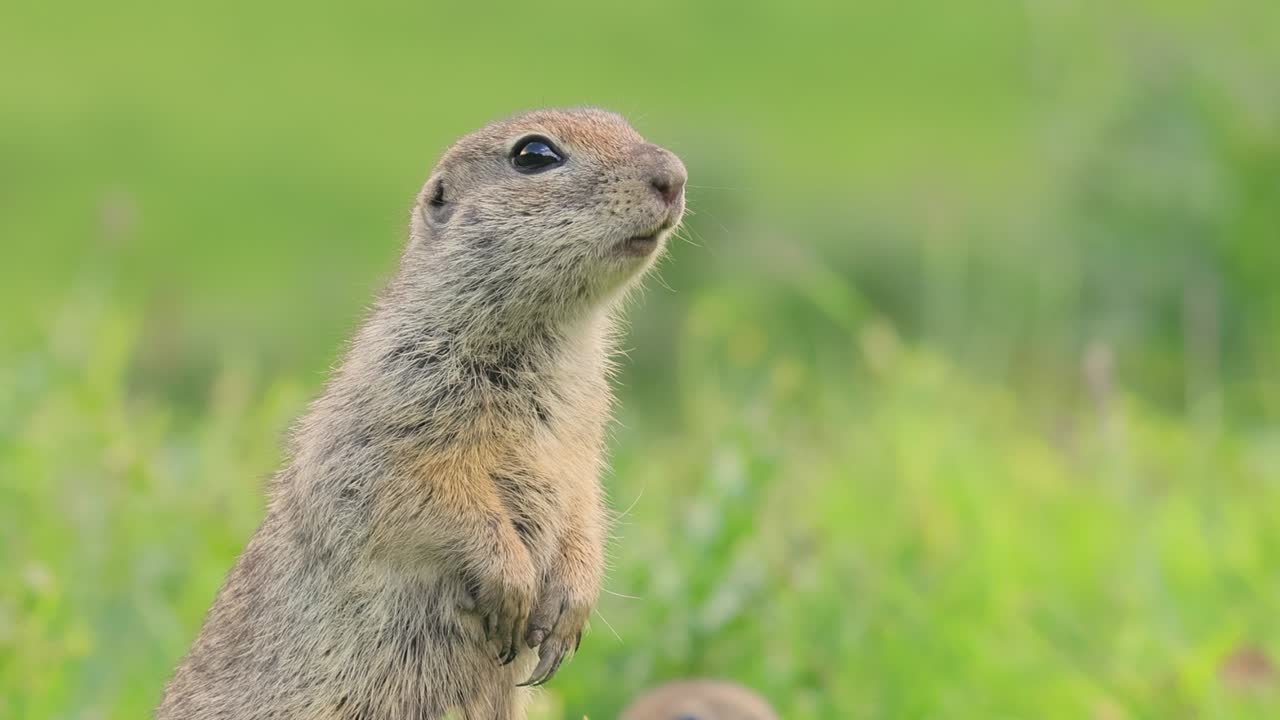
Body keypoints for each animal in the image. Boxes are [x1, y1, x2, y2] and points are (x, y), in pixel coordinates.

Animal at [155, 108, 687, 720]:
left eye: (622, 122)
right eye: (534, 154)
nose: (675, 176)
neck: (555, 341)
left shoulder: (580, 449)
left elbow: (585, 511)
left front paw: (570, 610)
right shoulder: (391, 414)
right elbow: (427, 495)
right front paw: (510, 582)